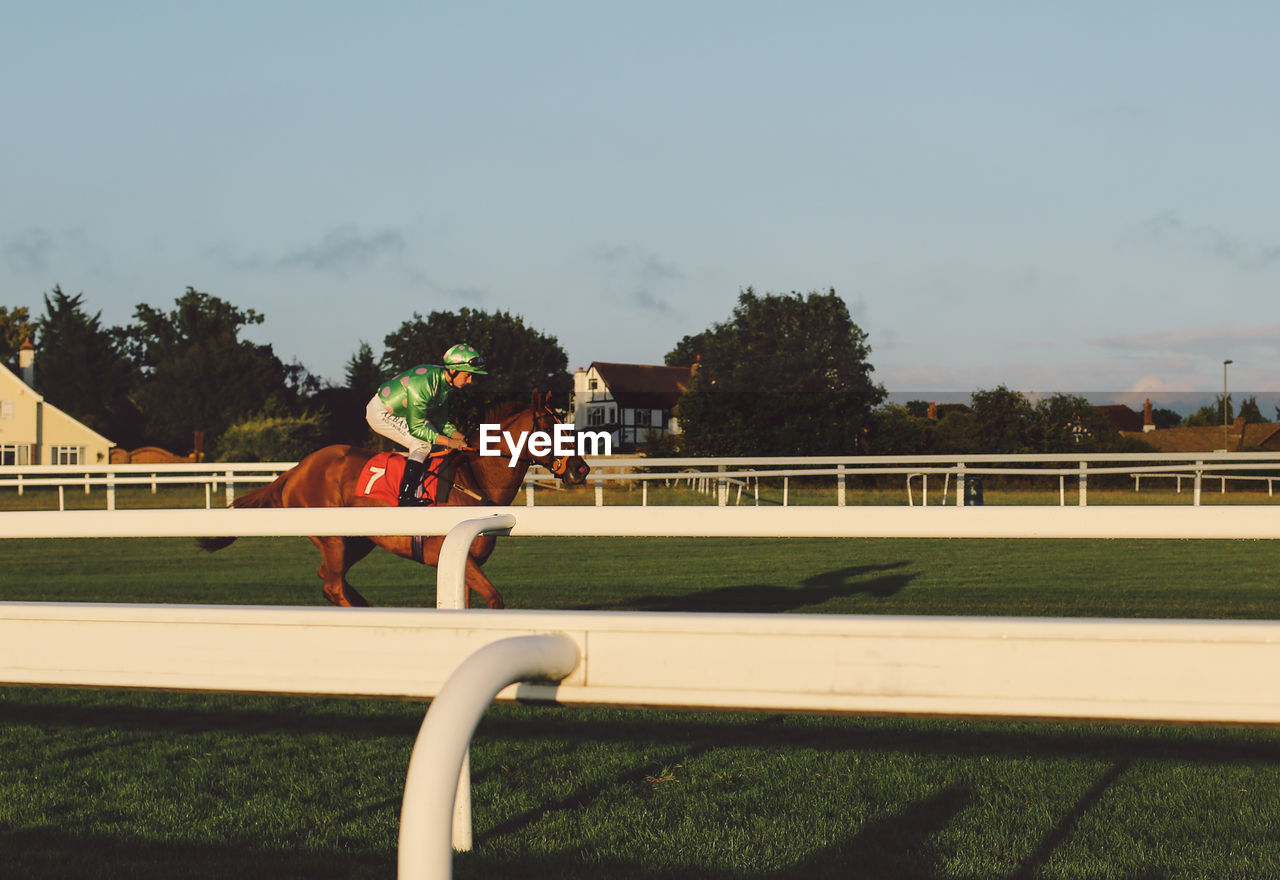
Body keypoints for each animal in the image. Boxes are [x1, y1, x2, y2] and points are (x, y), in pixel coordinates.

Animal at [198, 393, 588, 608]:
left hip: (359, 541)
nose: (580, 469)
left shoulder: (462, 560)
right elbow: (495, 598)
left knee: (329, 578)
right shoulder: (447, 553)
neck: (472, 481)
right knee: (332, 584)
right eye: (548, 429)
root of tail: (293, 472)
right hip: (334, 537)